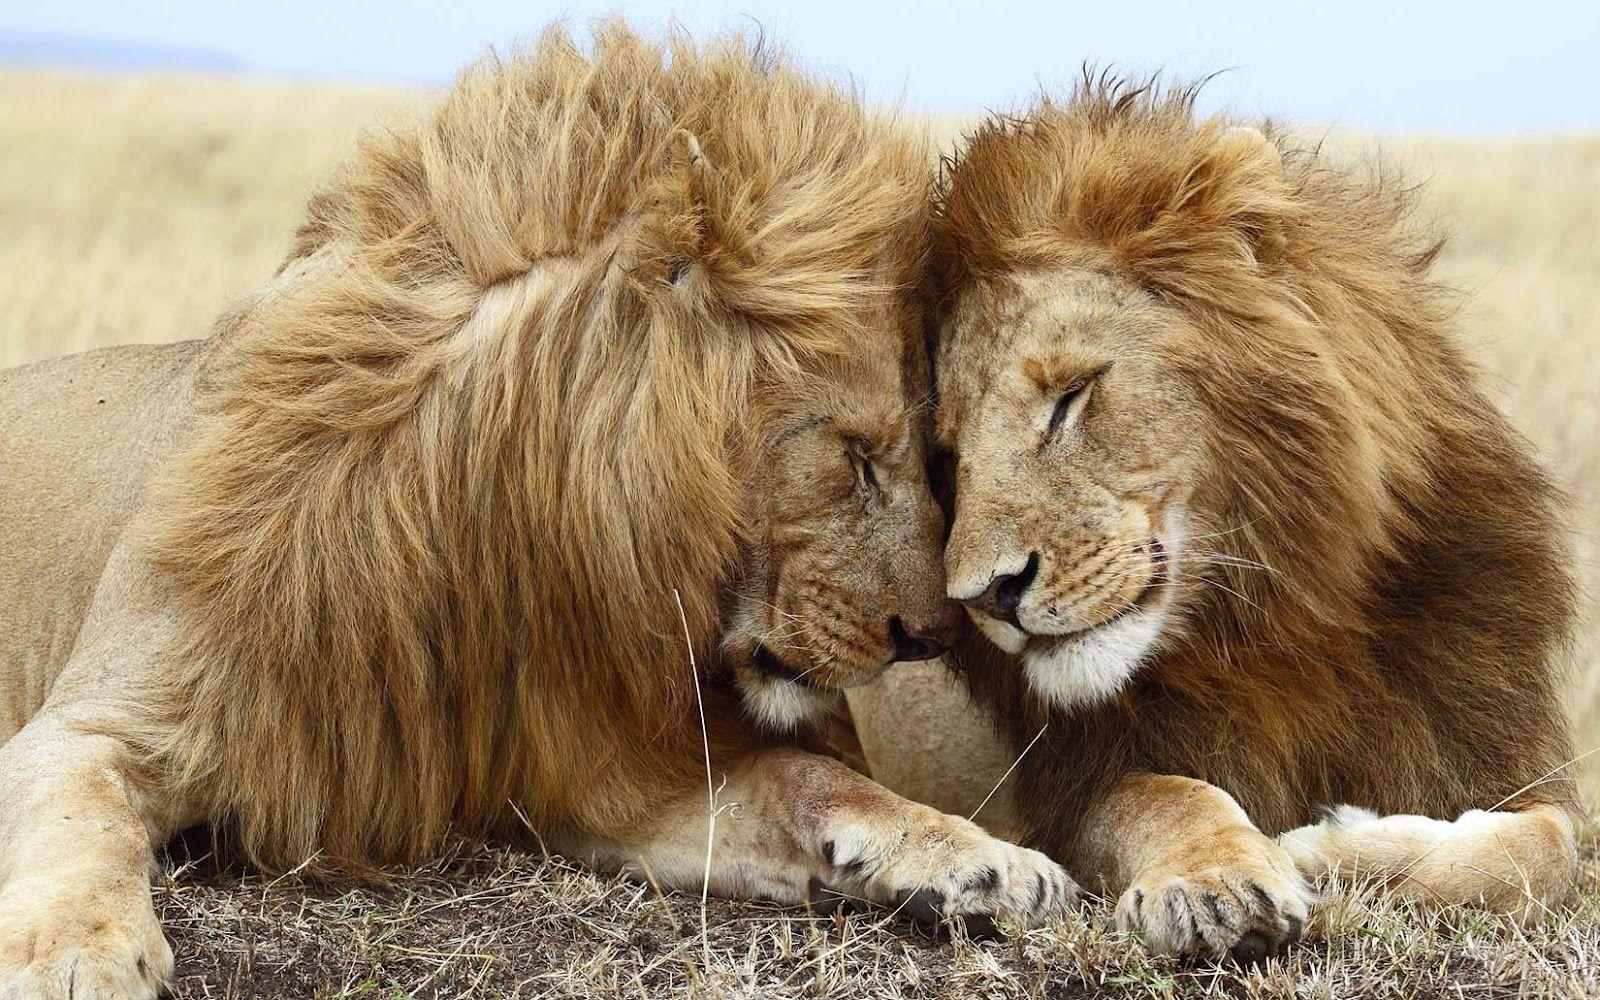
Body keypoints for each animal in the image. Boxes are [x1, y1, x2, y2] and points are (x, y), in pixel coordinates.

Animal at [0, 26, 1076, 997]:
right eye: (854, 457)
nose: (932, 635)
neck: (484, 524)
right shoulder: (94, 723)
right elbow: (80, 821)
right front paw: (79, 956)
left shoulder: (599, 768)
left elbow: (811, 779)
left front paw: (983, 859)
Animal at [849, 79, 1581, 963]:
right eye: (950, 457)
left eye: (1070, 398)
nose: (987, 595)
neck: (1276, 620)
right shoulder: (1074, 787)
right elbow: (1169, 794)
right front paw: (1220, 881)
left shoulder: (1494, 745)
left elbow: (1544, 849)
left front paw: (1332, 847)